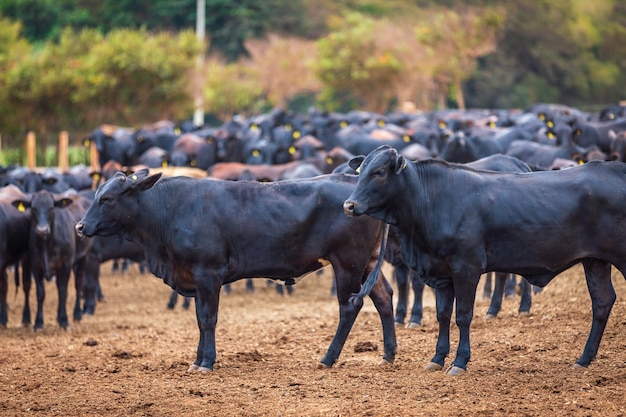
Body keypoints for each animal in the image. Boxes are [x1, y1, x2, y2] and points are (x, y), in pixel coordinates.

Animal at [75, 169, 392, 370]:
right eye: (97, 194)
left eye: (107, 198)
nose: (79, 226)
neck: (170, 210)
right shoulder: (195, 278)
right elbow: (199, 320)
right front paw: (197, 360)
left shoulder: (208, 274)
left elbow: (208, 319)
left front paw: (207, 362)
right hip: (368, 263)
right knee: (384, 297)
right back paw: (389, 353)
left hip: (348, 263)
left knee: (349, 308)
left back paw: (328, 358)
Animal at [344, 145, 624, 374]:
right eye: (361, 170)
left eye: (379, 172)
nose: (349, 205)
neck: (431, 201)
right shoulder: (441, 273)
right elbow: (443, 315)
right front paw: (437, 358)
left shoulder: (466, 268)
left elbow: (463, 315)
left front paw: (459, 362)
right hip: (595, 261)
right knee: (602, 301)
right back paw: (583, 359)